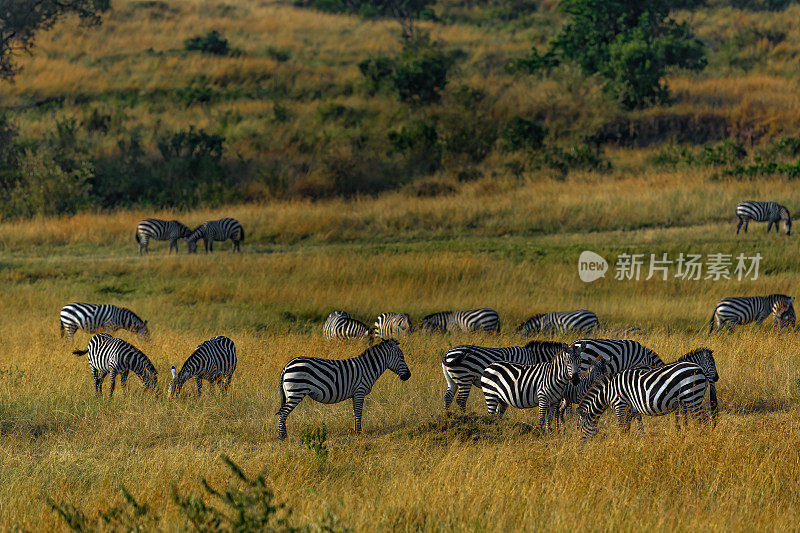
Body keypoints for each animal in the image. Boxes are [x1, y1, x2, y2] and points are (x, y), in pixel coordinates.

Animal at [276, 338, 412, 438]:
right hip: (296, 392)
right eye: (402, 357)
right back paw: (282, 436)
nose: (409, 376)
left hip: (290, 393)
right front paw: (359, 432)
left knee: (283, 412)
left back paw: (283, 434)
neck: (368, 367)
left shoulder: (355, 394)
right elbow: (359, 412)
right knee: (283, 413)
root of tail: (286, 366)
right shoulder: (360, 391)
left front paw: (355, 430)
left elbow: (355, 412)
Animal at [576, 358, 712, 436]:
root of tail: (700, 368)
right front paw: (638, 443)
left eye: (581, 430)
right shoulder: (632, 409)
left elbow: (622, 428)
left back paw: (704, 439)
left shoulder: (620, 405)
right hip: (691, 399)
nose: (581, 449)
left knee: (705, 420)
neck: (608, 392)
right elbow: (637, 427)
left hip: (692, 398)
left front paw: (621, 446)